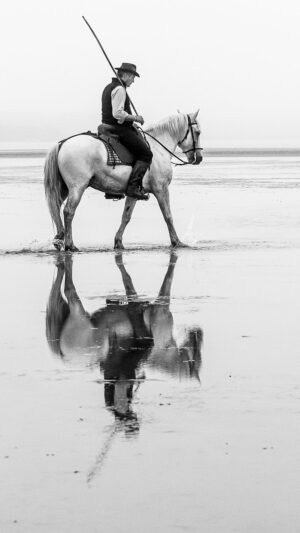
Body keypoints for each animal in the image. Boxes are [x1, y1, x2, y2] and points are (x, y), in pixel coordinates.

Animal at [44, 109, 202, 249]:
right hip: (77, 187)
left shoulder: (134, 192)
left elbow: (126, 216)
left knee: (57, 207)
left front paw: (118, 242)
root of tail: (63, 143)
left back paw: (59, 238)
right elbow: (168, 215)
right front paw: (177, 242)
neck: (158, 148)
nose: (199, 158)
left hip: (65, 188)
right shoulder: (161, 189)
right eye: (198, 132)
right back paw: (70, 245)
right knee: (68, 212)